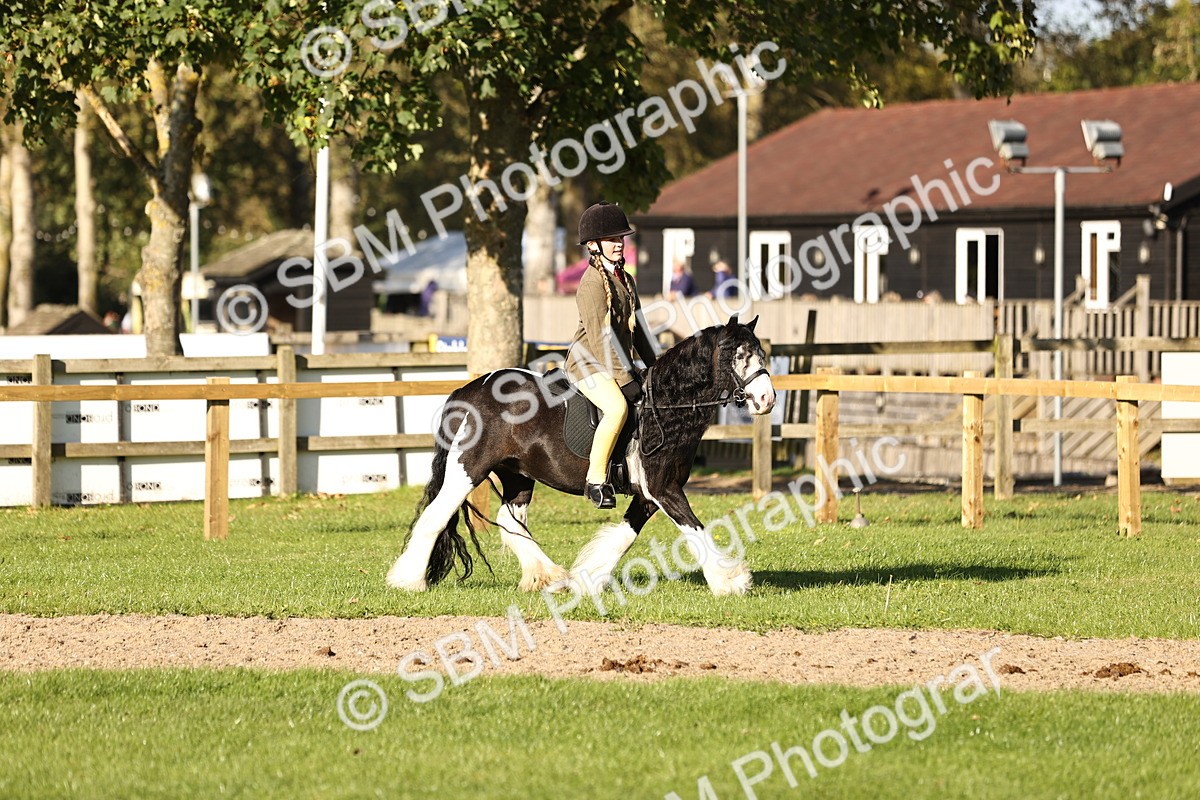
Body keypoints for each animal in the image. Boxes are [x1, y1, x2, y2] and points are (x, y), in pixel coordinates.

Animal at [386, 315, 776, 596]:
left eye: (761, 354)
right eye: (739, 355)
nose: (767, 399)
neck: (664, 406)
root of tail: (466, 392)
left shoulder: (649, 494)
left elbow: (624, 537)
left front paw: (587, 580)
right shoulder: (663, 489)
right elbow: (696, 530)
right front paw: (729, 582)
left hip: (517, 475)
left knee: (511, 522)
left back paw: (548, 576)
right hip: (469, 469)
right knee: (436, 515)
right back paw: (409, 580)